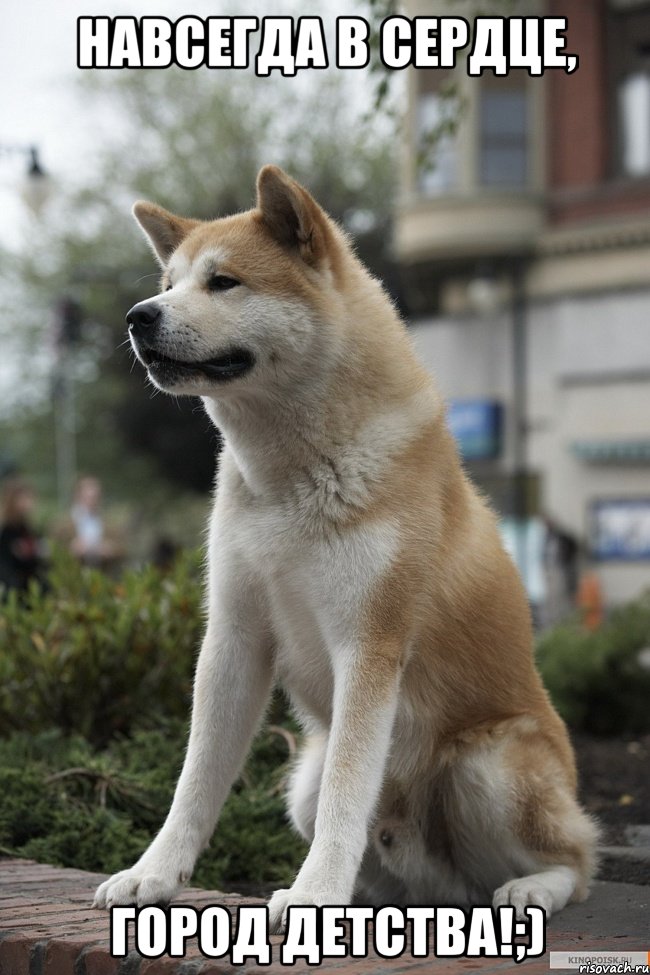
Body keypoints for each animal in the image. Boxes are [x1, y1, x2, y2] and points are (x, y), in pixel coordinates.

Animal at [93, 164, 596, 928]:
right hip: (301, 776)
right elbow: (196, 781)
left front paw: (313, 893)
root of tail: (443, 887)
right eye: (170, 281)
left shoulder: (369, 643)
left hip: (489, 766)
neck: (291, 477)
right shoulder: (234, 637)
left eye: (224, 282)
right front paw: (154, 873)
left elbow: (347, 791)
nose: (138, 315)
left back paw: (530, 889)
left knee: (576, 861)